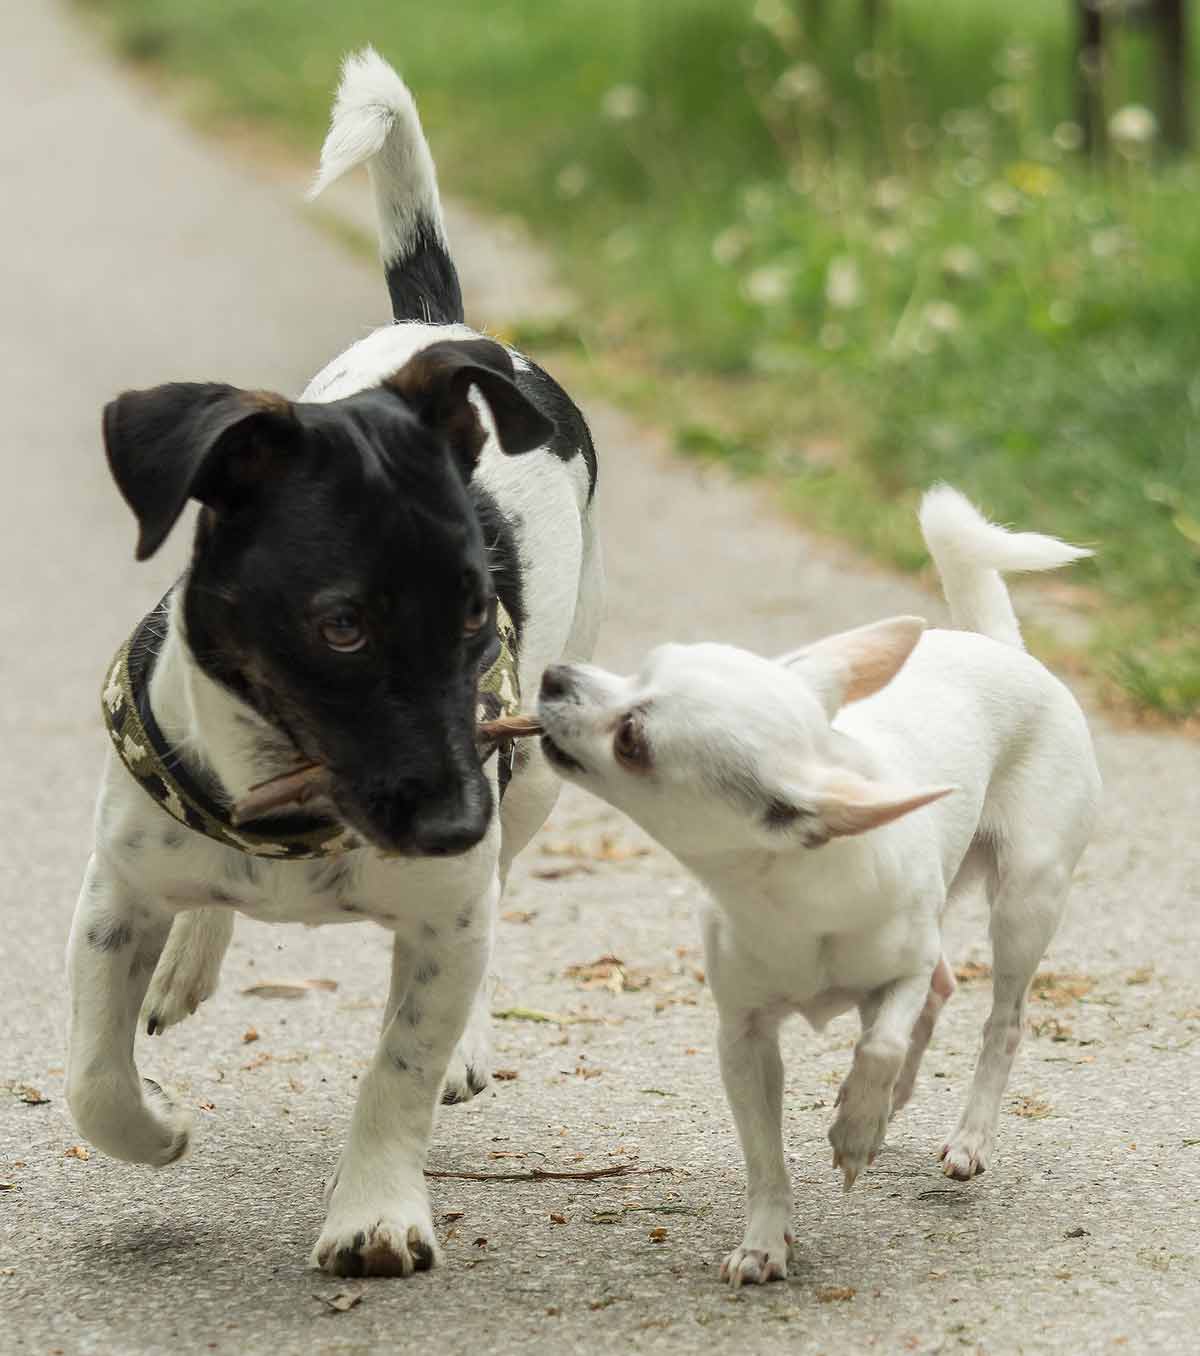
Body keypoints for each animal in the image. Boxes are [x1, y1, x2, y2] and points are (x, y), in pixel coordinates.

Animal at [67, 52, 599, 1274]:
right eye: (341, 626)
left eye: (475, 612)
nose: (453, 820)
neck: (292, 810)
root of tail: (442, 326)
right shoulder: (113, 892)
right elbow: (93, 1081)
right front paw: (156, 1126)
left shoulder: (450, 903)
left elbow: (396, 1071)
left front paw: (375, 1212)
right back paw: (191, 956)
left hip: (532, 791)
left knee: (497, 898)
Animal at [539, 488, 1101, 1280]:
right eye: (640, 669)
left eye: (632, 741)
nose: (553, 676)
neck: (790, 895)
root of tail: (1003, 648)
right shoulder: (743, 1039)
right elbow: (765, 1158)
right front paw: (765, 1239)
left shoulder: (896, 977)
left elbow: (883, 1041)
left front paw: (855, 1130)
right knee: (943, 988)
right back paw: (893, 1103)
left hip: (1027, 900)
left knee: (1001, 1020)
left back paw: (963, 1135)